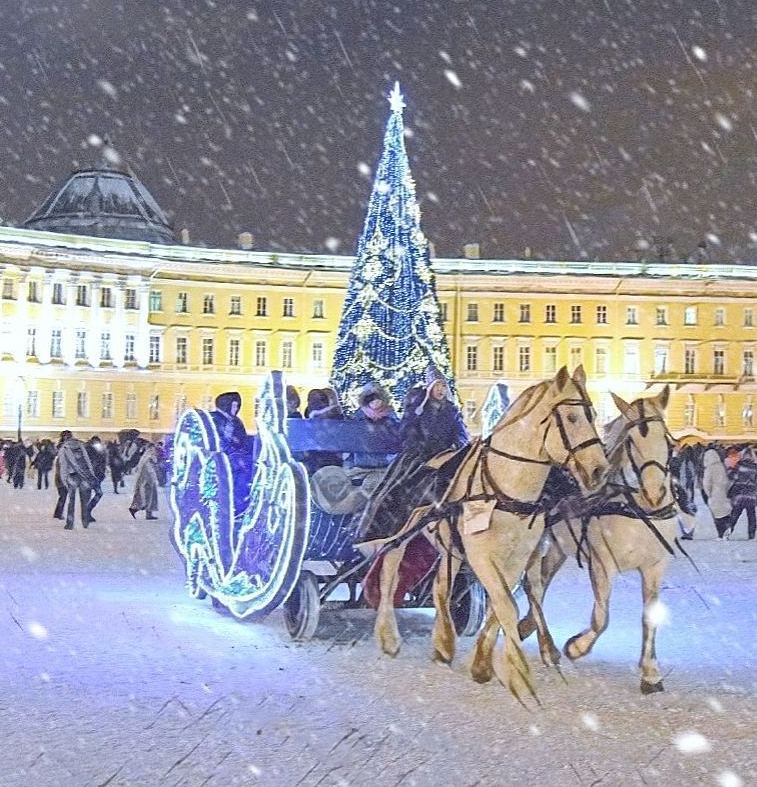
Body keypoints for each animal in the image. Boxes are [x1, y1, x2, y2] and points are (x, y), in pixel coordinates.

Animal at [372, 364, 608, 700]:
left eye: (592, 413)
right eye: (573, 417)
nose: (600, 469)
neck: (505, 487)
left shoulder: (517, 557)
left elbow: (502, 604)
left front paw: (482, 662)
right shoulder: (481, 554)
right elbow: (507, 605)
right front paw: (519, 671)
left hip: (448, 547)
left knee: (440, 586)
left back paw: (443, 643)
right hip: (399, 536)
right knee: (389, 572)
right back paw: (388, 636)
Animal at [510, 384, 676, 692]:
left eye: (668, 440)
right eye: (631, 442)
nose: (654, 493)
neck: (636, 511)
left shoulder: (655, 566)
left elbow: (650, 617)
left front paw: (650, 672)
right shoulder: (601, 562)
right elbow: (601, 618)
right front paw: (576, 647)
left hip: (559, 546)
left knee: (543, 579)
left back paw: (526, 626)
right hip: (534, 541)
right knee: (533, 585)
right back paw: (546, 646)